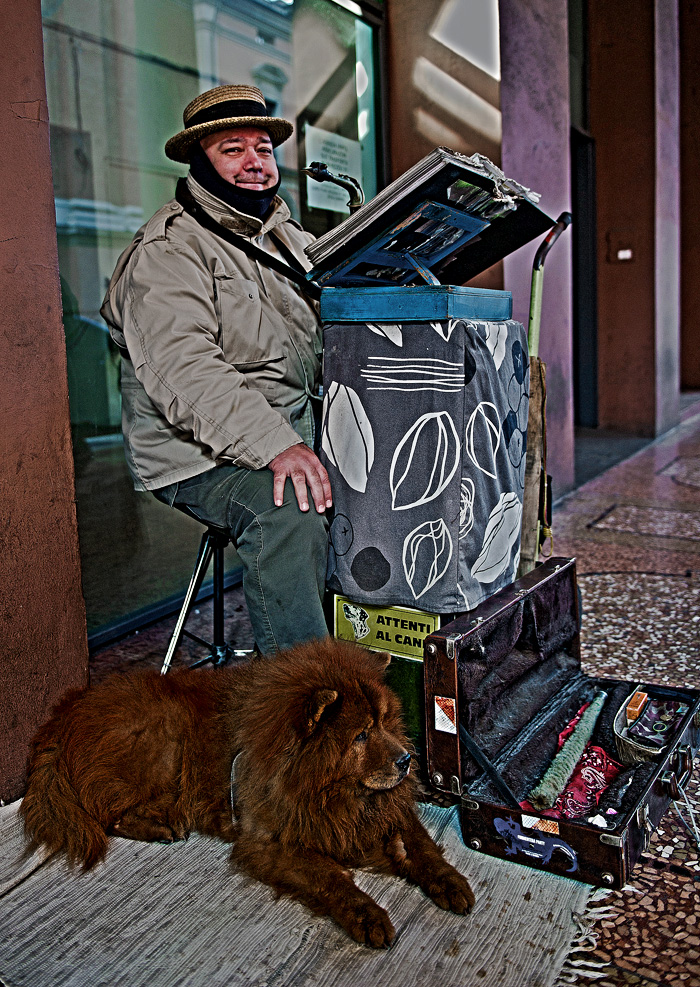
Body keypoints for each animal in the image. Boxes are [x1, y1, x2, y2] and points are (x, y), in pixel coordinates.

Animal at [21, 640, 474, 948]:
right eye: (360, 735)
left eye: (383, 721)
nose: (406, 760)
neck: (324, 790)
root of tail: (63, 717)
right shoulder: (271, 842)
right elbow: (330, 878)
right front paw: (368, 916)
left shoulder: (379, 816)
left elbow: (421, 847)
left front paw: (450, 882)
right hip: (162, 738)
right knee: (106, 813)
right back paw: (160, 826)